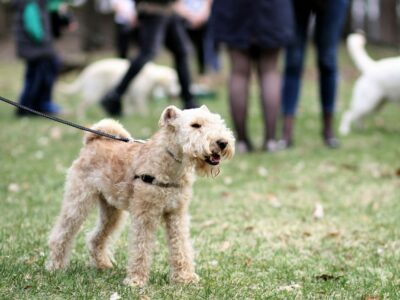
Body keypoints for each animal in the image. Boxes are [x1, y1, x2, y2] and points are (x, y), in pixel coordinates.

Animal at [46, 105, 234, 286]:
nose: (222, 142)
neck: (169, 164)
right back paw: (55, 266)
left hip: (112, 211)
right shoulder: (145, 215)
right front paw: (136, 281)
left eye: (218, 122)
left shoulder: (176, 214)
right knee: (62, 234)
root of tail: (93, 141)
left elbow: (181, 246)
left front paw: (185, 277)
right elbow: (141, 248)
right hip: (78, 201)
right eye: (195, 125)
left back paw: (102, 265)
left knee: (95, 238)